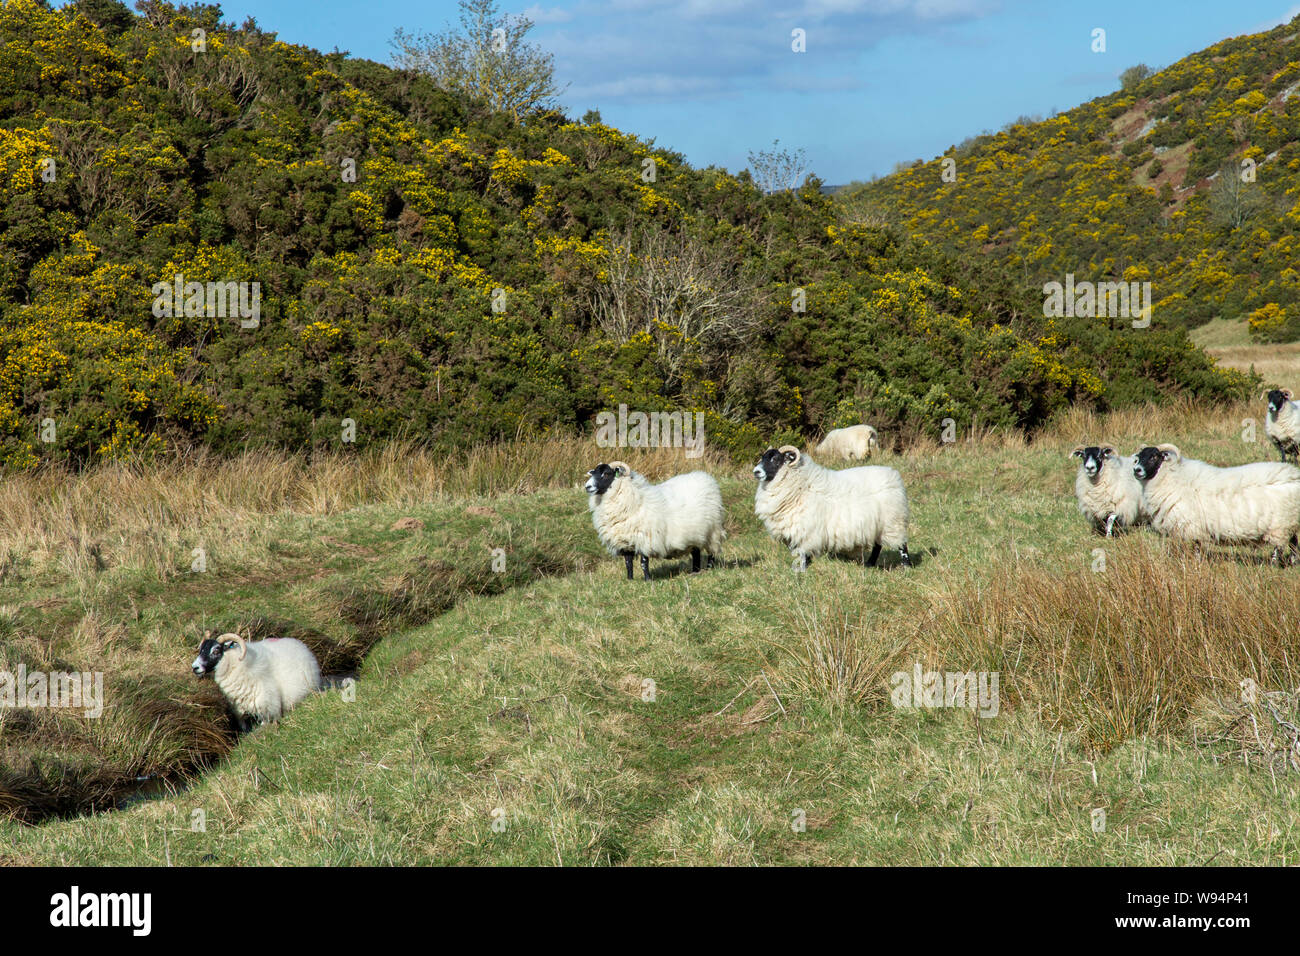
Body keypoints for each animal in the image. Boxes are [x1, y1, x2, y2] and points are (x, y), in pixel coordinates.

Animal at [192, 632, 325, 728]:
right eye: (201, 650)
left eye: (216, 650)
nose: (194, 667)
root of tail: (300, 644)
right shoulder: (238, 709)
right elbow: (243, 726)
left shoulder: (267, 705)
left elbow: (265, 722)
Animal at [585, 460, 728, 580]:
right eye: (594, 473)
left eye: (606, 474)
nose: (587, 487)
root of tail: (705, 476)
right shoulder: (625, 542)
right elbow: (628, 563)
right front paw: (630, 580)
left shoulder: (645, 539)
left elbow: (643, 562)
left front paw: (648, 580)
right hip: (696, 533)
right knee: (696, 552)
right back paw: (695, 572)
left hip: (712, 531)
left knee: (712, 552)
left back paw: (708, 569)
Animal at [748, 447, 909, 572]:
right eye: (763, 457)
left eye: (775, 459)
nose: (756, 471)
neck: (801, 486)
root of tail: (893, 474)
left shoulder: (806, 530)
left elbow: (802, 552)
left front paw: (802, 570)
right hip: (879, 524)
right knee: (878, 545)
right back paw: (870, 564)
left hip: (893, 521)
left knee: (902, 545)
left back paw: (905, 566)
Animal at [1133, 444, 1300, 564]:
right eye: (1139, 458)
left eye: (1154, 456)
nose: (1136, 470)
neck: (1173, 478)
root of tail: (1293, 475)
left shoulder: (1193, 526)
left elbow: (1197, 546)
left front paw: (1197, 563)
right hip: (1289, 522)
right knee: (1293, 542)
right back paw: (1292, 561)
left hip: (1280, 524)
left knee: (1280, 546)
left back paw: (1274, 563)